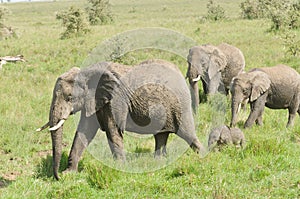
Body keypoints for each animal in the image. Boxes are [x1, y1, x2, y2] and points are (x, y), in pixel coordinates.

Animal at [37, 59, 206, 180]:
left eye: (69, 97)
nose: (57, 177)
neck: (87, 72)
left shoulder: (115, 99)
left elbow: (113, 131)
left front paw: (120, 168)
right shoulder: (93, 99)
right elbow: (84, 132)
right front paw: (69, 173)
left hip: (180, 105)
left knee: (188, 135)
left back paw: (204, 157)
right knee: (161, 136)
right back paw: (158, 162)